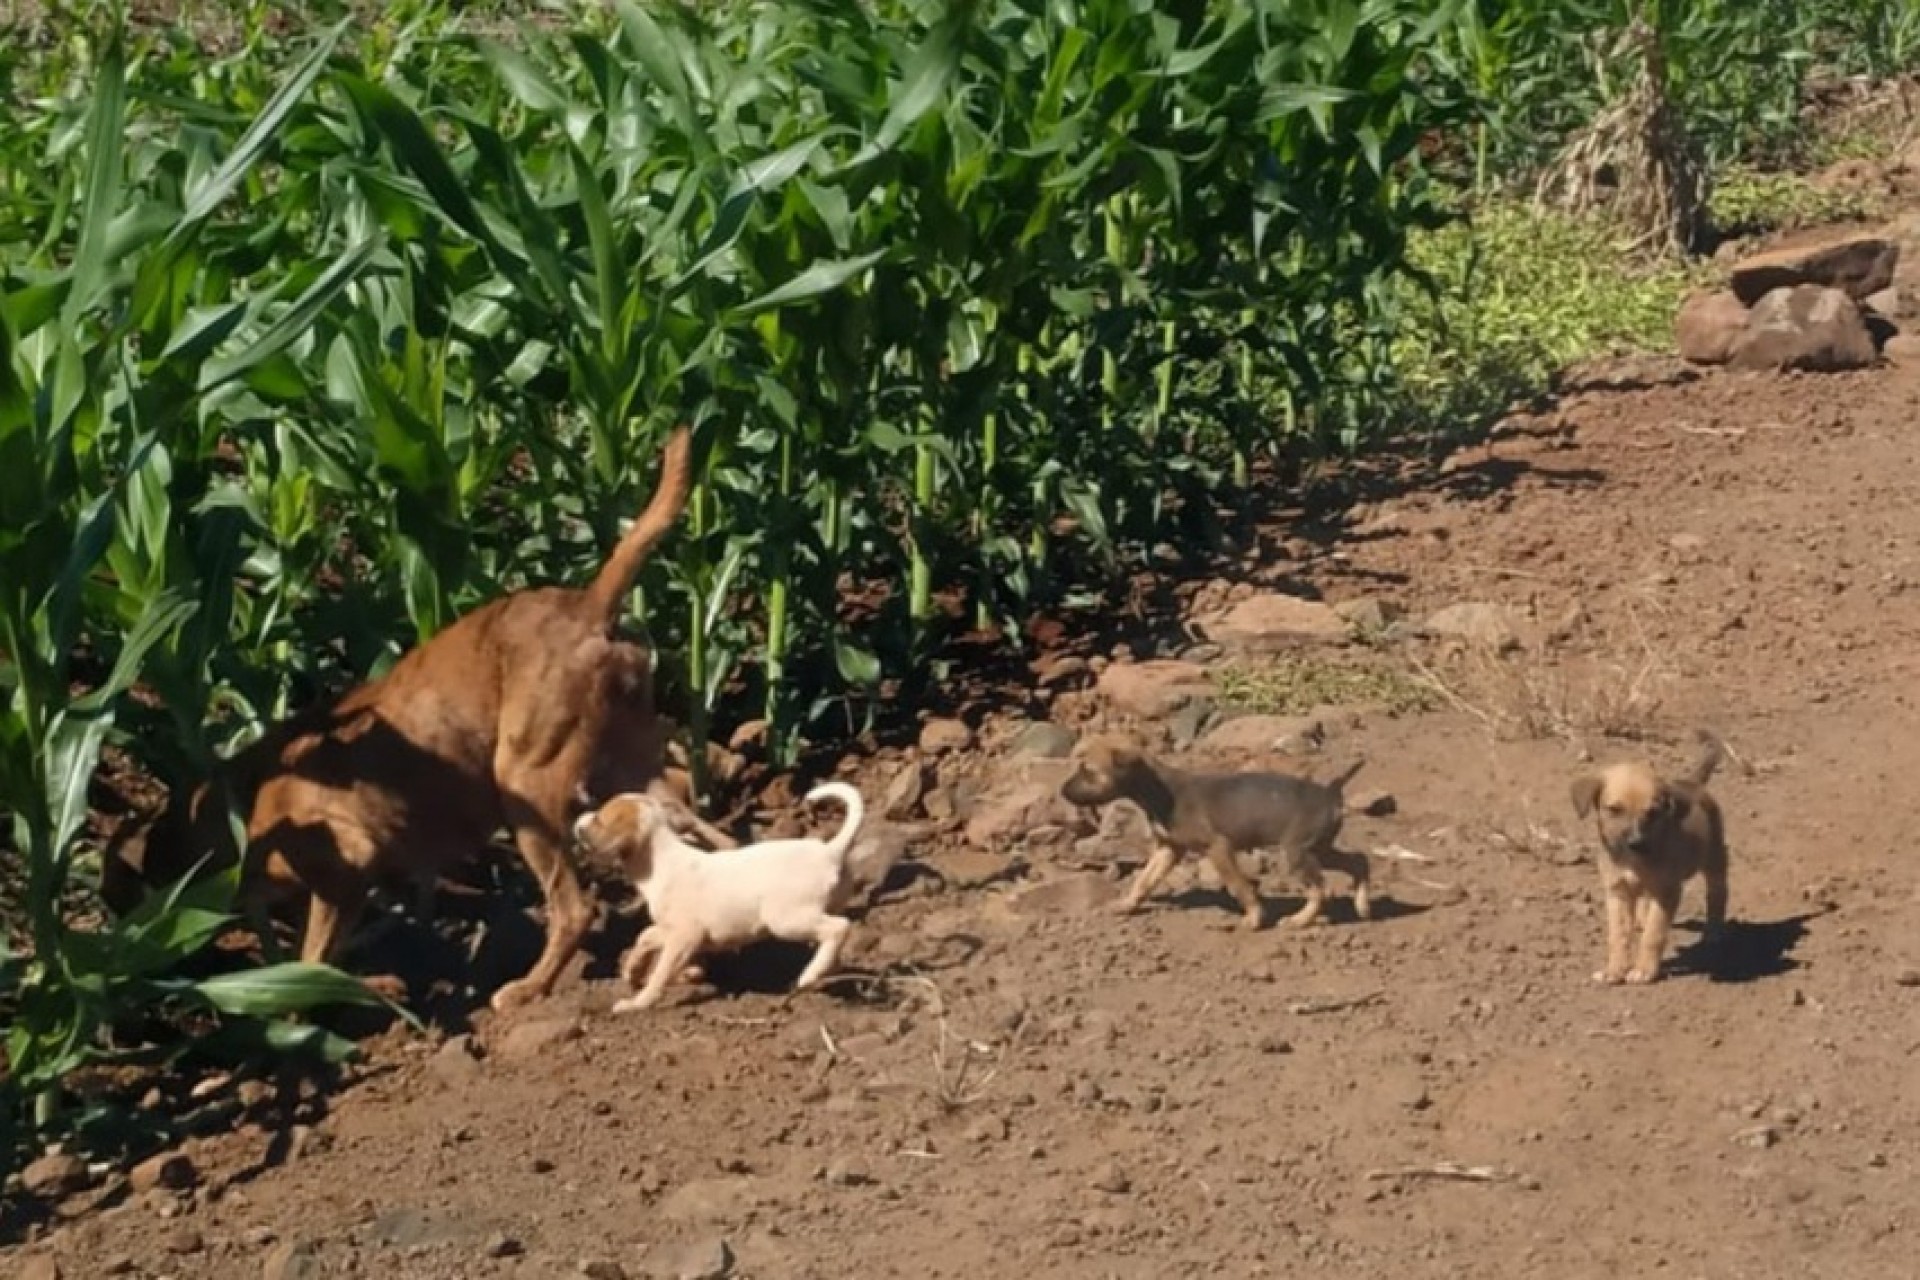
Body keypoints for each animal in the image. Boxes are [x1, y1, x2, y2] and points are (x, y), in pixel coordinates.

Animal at [105, 429, 706, 1013]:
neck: (233, 802)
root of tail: (590, 606)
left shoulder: (344, 863)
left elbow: (314, 959)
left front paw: (300, 1004)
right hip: (631, 768)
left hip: (527, 788)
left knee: (574, 909)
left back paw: (528, 989)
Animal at [568, 775, 871, 1013]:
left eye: (598, 819)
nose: (576, 821)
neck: (659, 859)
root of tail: (830, 851)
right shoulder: (675, 930)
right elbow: (645, 936)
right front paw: (633, 969)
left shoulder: (685, 936)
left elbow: (660, 973)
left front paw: (638, 1003)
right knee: (834, 937)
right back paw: (823, 971)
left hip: (786, 919)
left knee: (839, 928)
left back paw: (810, 974)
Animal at [1566, 725, 1735, 990]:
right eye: (1614, 809)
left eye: (1653, 812)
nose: (1636, 843)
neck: (1632, 861)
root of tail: (1692, 783)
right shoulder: (1617, 891)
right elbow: (1618, 935)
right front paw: (1614, 969)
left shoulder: (1667, 891)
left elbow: (1654, 934)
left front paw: (1644, 970)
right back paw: (1641, 919)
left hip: (1714, 858)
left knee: (1718, 894)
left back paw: (1713, 931)